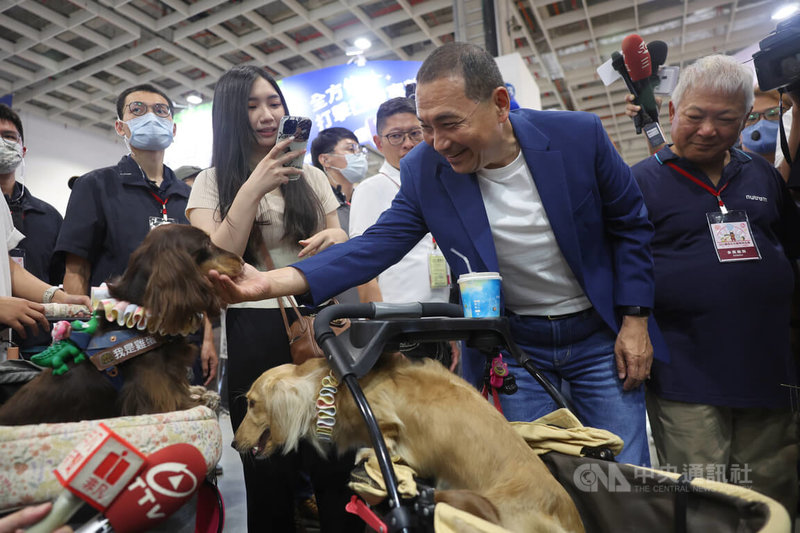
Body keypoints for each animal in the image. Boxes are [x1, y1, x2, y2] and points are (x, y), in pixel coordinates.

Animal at [0, 224, 241, 424]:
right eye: (207, 243)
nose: (241, 259)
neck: (140, 322)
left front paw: (204, 392)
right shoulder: (156, 404)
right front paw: (206, 396)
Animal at [234, 354, 584, 532]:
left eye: (251, 403)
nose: (235, 445)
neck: (330, 386)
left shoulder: (385, 418)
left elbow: (387, 440)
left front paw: (372, 455)